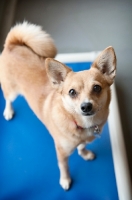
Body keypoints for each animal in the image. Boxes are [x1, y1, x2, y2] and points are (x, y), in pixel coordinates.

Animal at [0, 21, 116, 191]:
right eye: (72, 92)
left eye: (97, 88)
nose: (86, 106)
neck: (82, 125)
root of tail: (12, 45)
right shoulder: (61, 152)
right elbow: (64, 167)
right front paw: (65, 180)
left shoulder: (83, 140)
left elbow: (81, 146)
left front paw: (84, 153)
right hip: (11, 91)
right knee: (8, 99)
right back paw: (8, 111)